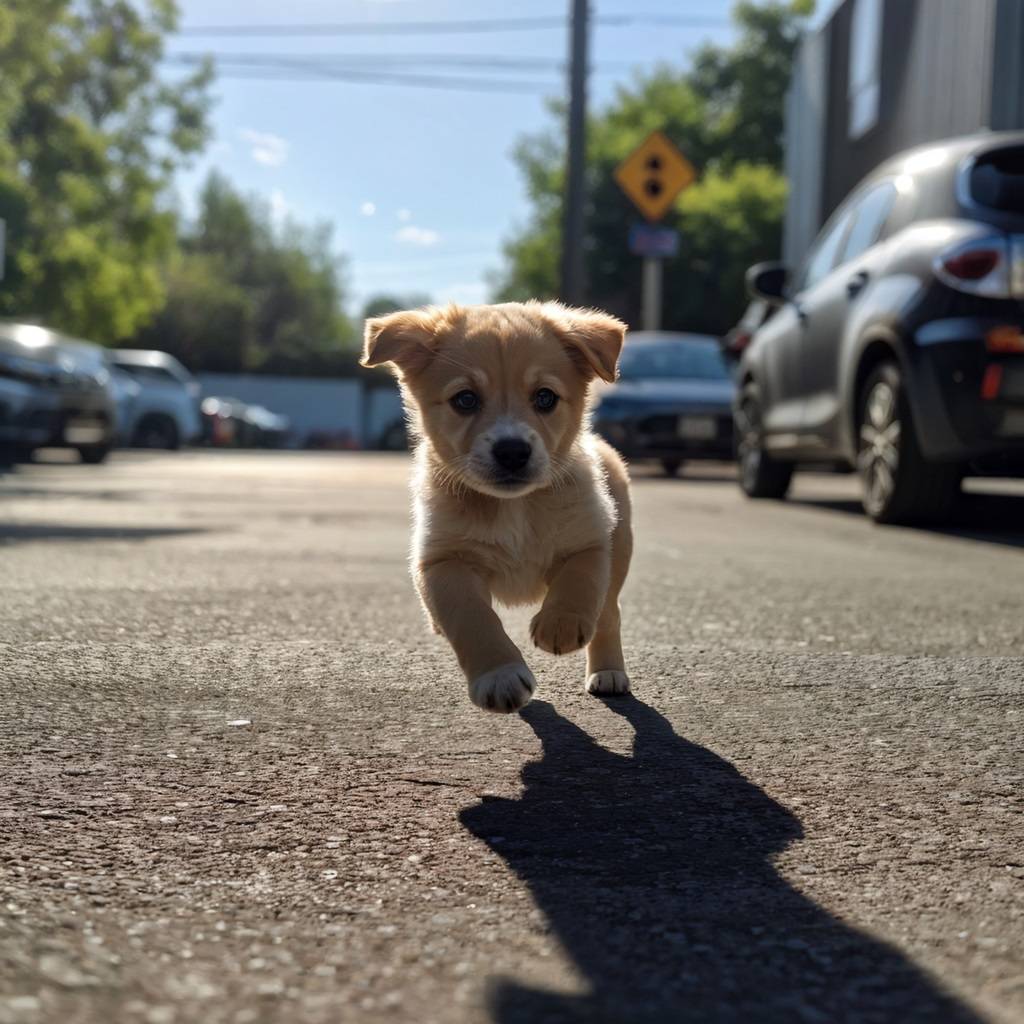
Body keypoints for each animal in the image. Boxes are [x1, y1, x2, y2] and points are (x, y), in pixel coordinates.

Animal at [360, 299, 630, 712]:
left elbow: (579, 582)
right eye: (465, 399)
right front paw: (499, 675)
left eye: (545, 397)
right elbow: (472, 618)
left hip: (620, 553)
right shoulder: (442, 561)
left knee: (608, 615)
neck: (513, 508)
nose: (512, 451)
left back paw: (609, 672)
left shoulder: (592, 540)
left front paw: (561, 623)